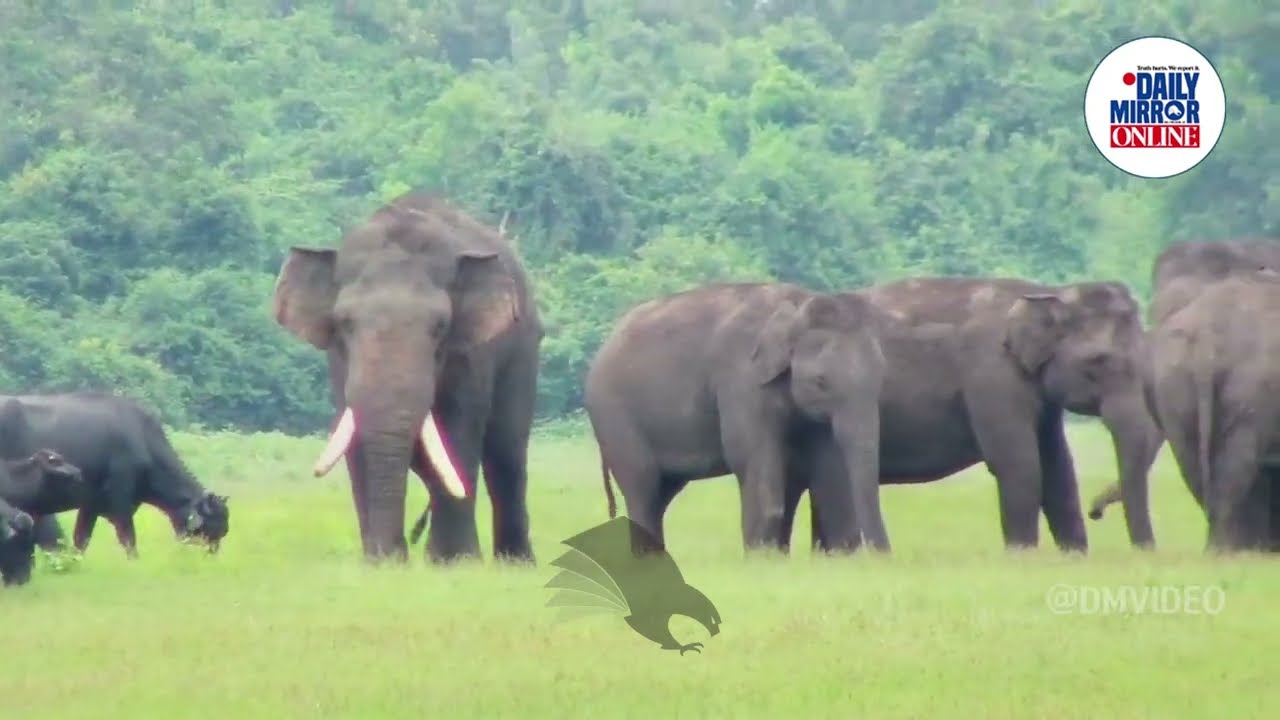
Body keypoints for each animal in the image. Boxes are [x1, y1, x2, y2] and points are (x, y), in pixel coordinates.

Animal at [0, 394, 230, 557]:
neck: (142, 440)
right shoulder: (121, 501)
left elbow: (81, 539)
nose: (212, 554)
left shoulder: (90, 505)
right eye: (214, 525)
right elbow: (128, 538)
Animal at [272, 191, 543, 564]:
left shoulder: (471, 356)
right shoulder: (340, 366)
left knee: (507, 455)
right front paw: (381, 563)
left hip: (523, 354)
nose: (391, 553)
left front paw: (453, 562)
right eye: (344, 323)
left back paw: (515, 564)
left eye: (441, 327)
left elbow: (459, 433)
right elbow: (354, 436)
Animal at [584, 281, 893, 555]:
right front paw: (761, 559)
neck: (795, 308)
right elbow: (748, 457)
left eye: (881, 376)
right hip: (613, 416)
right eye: (821, 380)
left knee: (662, 491)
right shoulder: (741, 381)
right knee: (642, 486)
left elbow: (829, 467)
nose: (883, 557)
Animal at [786, 277, 1162, 552]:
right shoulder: (993, 379)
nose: (1095, 512)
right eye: (1098, 361)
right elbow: (1020, 464)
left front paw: (1074, 557)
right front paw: (1022, 558)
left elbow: (1059, 468)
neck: (1047, 292)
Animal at [1141, 269, 1280, 551]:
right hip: (1251, 389)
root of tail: (1207, 336)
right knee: (1237, 464)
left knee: (1192, 465)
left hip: (1172, 381)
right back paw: (1224, 551)